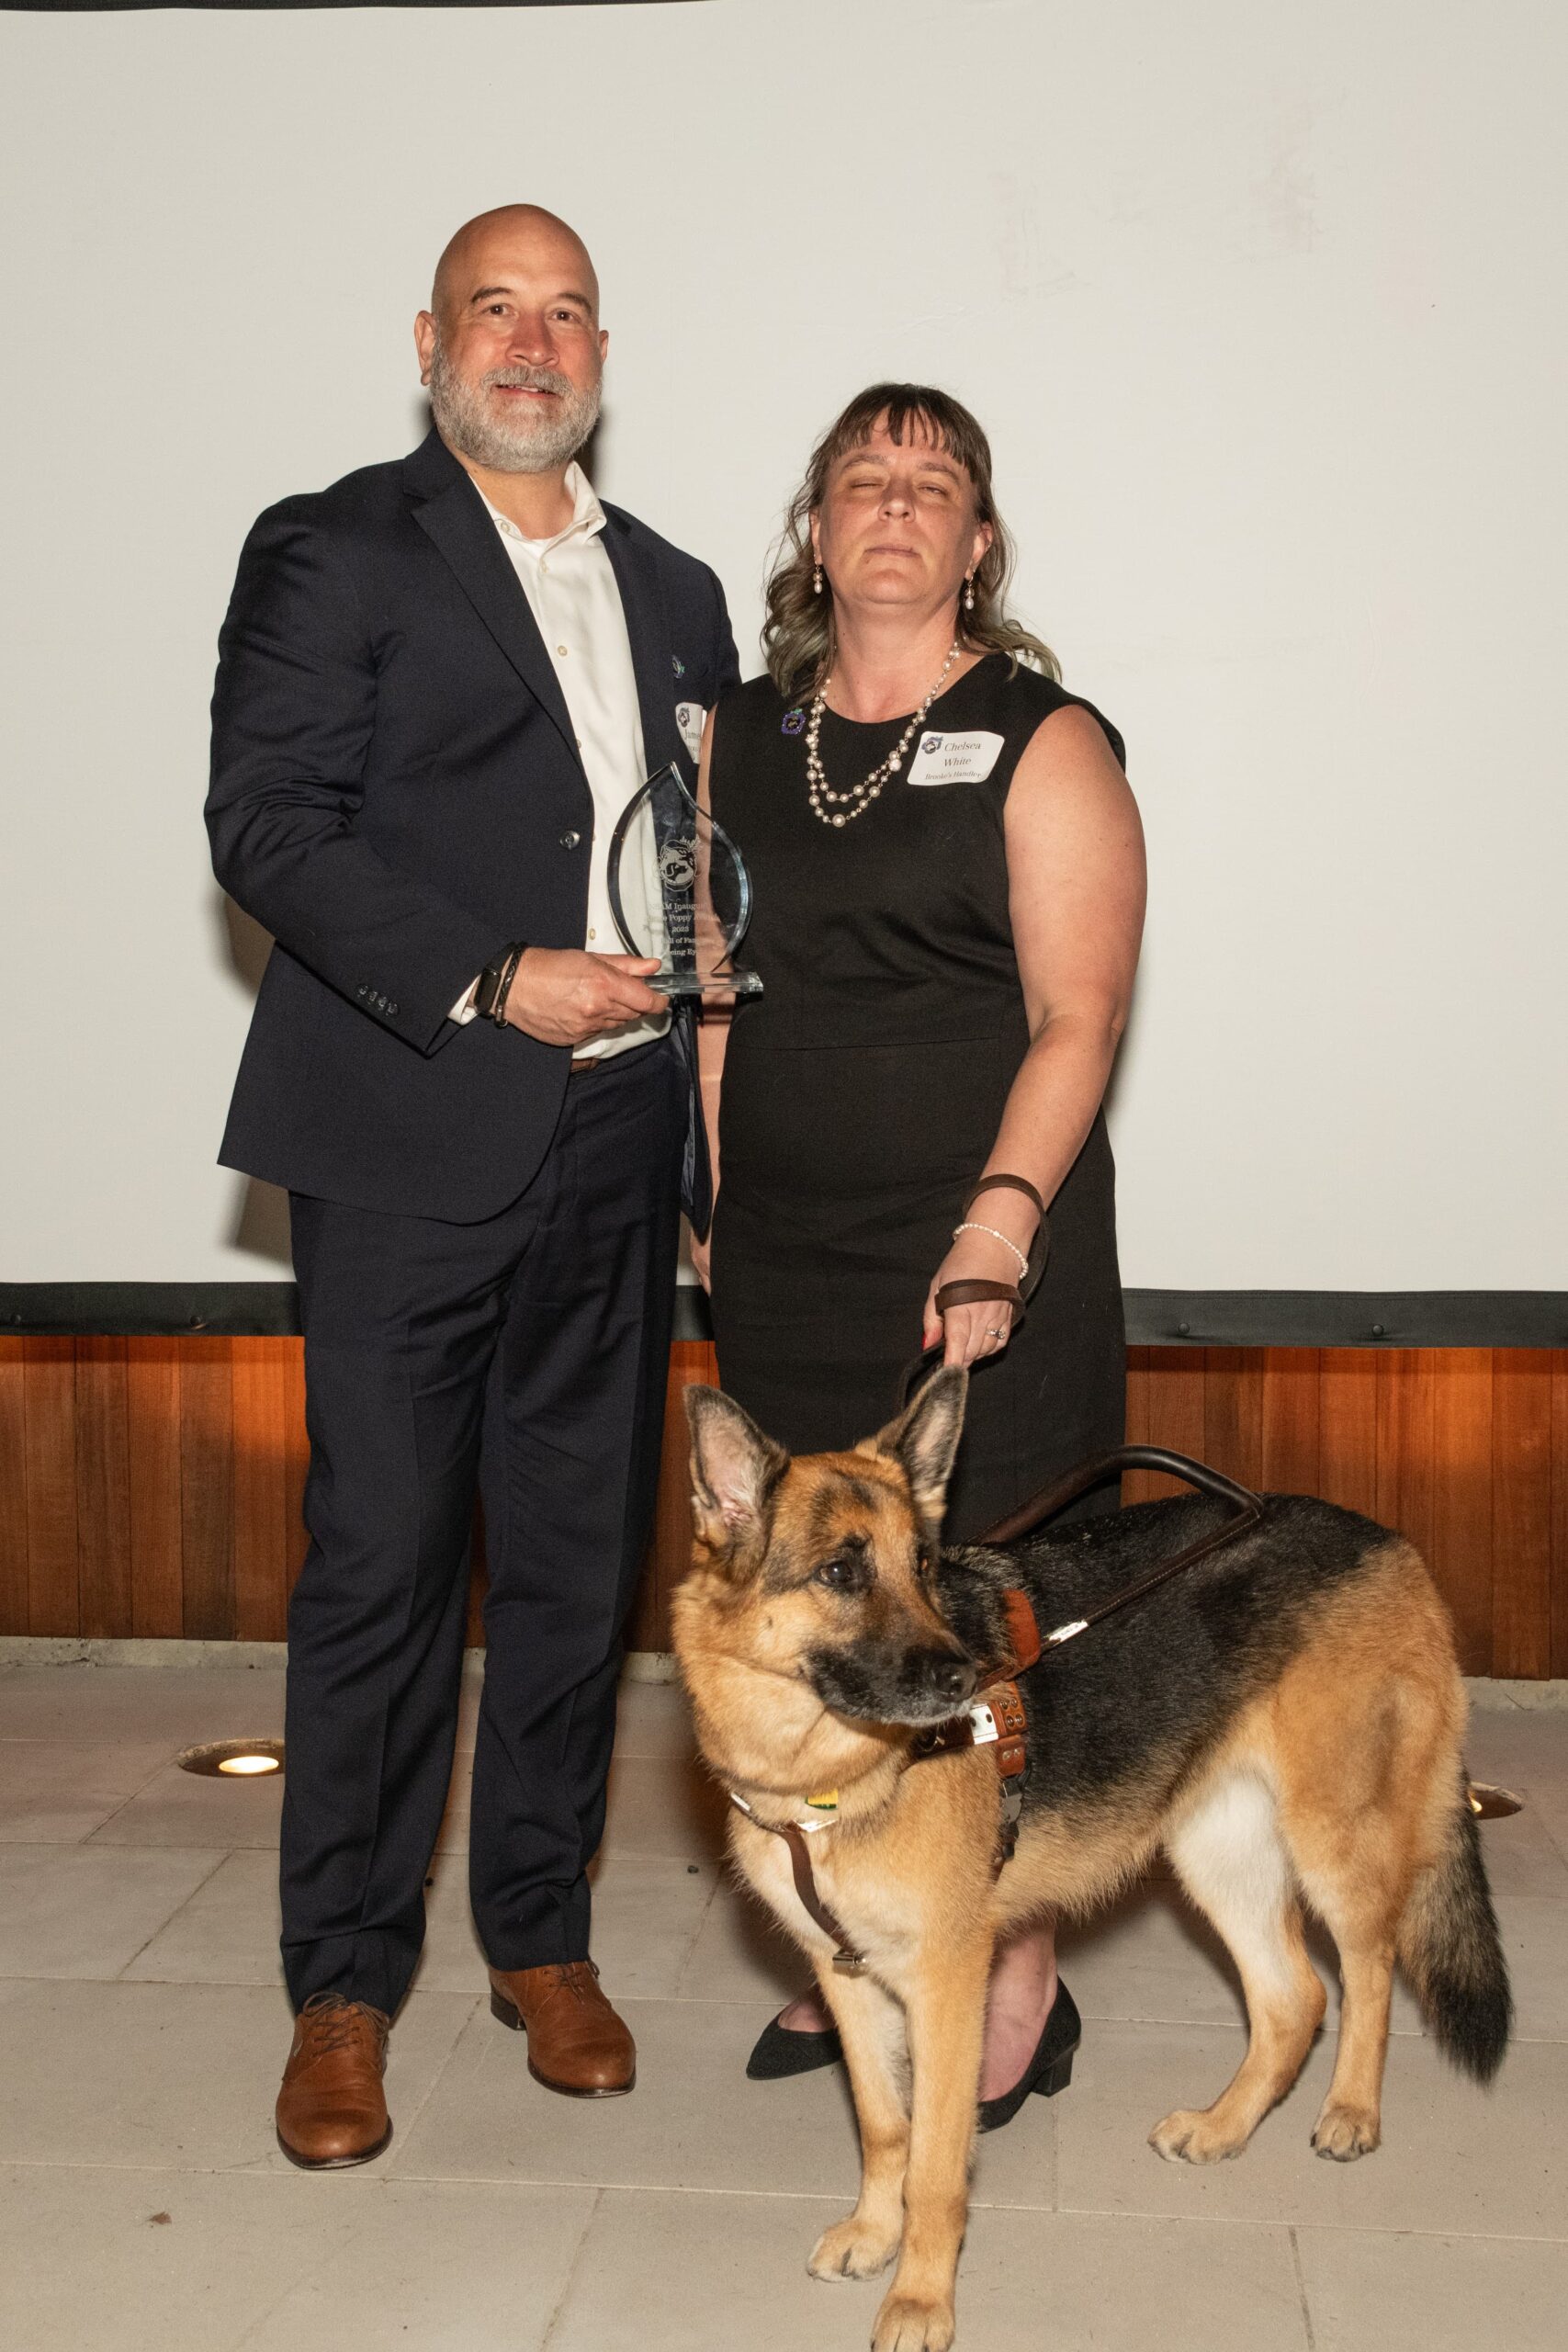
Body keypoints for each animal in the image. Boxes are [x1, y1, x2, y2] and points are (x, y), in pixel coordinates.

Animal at [671, 1374, 1504, 2342]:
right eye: (841, 1572)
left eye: (923, 1566)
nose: (965, 1679)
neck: (826, 1780)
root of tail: (1385, 1538)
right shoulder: (846, 1974)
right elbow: (884, 2129)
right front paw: (876, 2236)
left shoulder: (947, 1985)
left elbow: (934, 2163)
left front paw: (920, 2296)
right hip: (1215, 1853)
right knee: (1294, 1998)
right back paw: (1225, 2127)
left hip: (1335, 1838)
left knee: (1369, 1966)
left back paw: (1350, 2112)